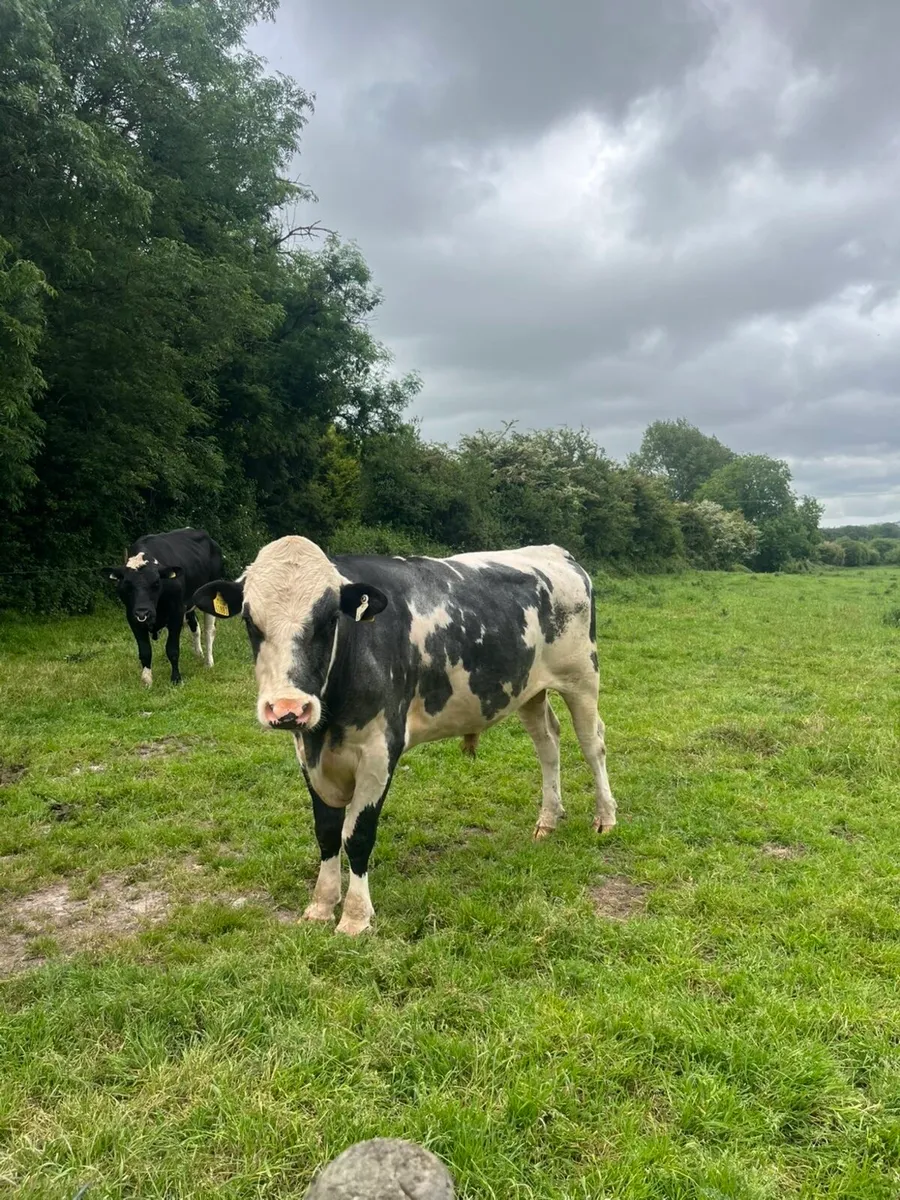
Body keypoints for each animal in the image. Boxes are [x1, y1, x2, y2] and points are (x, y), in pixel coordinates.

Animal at [102, 528, 223, 687]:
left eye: (156, 583)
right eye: (127, 585)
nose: (143, 612)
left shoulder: (176, 613)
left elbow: (172, 649)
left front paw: (176, 679)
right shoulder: (132, 617)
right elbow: (145, 651)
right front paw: (147, 681)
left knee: (209, 630)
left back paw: (208, 662)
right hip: (188, 602)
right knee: (194, 625)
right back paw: (198, 653)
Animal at [191, 535, 616, 935]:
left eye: (328, 621)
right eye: (251, 622)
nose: (288, 709)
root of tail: (556, 552)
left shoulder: (379, 750)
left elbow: (357, 834)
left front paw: (355, 918)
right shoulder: (309, 754)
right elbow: (327, 833)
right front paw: (321, 906)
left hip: (582, 677)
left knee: (592, 743)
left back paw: (605, 818)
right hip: (528, 689)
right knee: (548, 743)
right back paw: (548, 819)